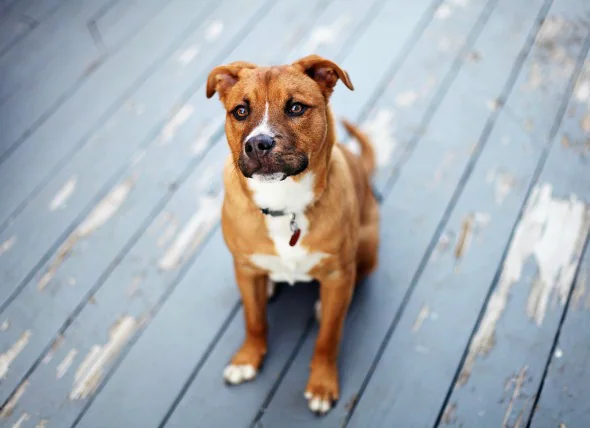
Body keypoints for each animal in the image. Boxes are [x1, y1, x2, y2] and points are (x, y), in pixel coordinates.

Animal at [208, 53, 382, 414]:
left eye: (296, 108)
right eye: (240, 111)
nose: (258, 144)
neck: (283, 203)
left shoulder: (338, 273)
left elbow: (328, 338)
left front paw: (322, 384)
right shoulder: (244, 268)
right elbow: (254, 320)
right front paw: (247, 358)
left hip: (367, 244)